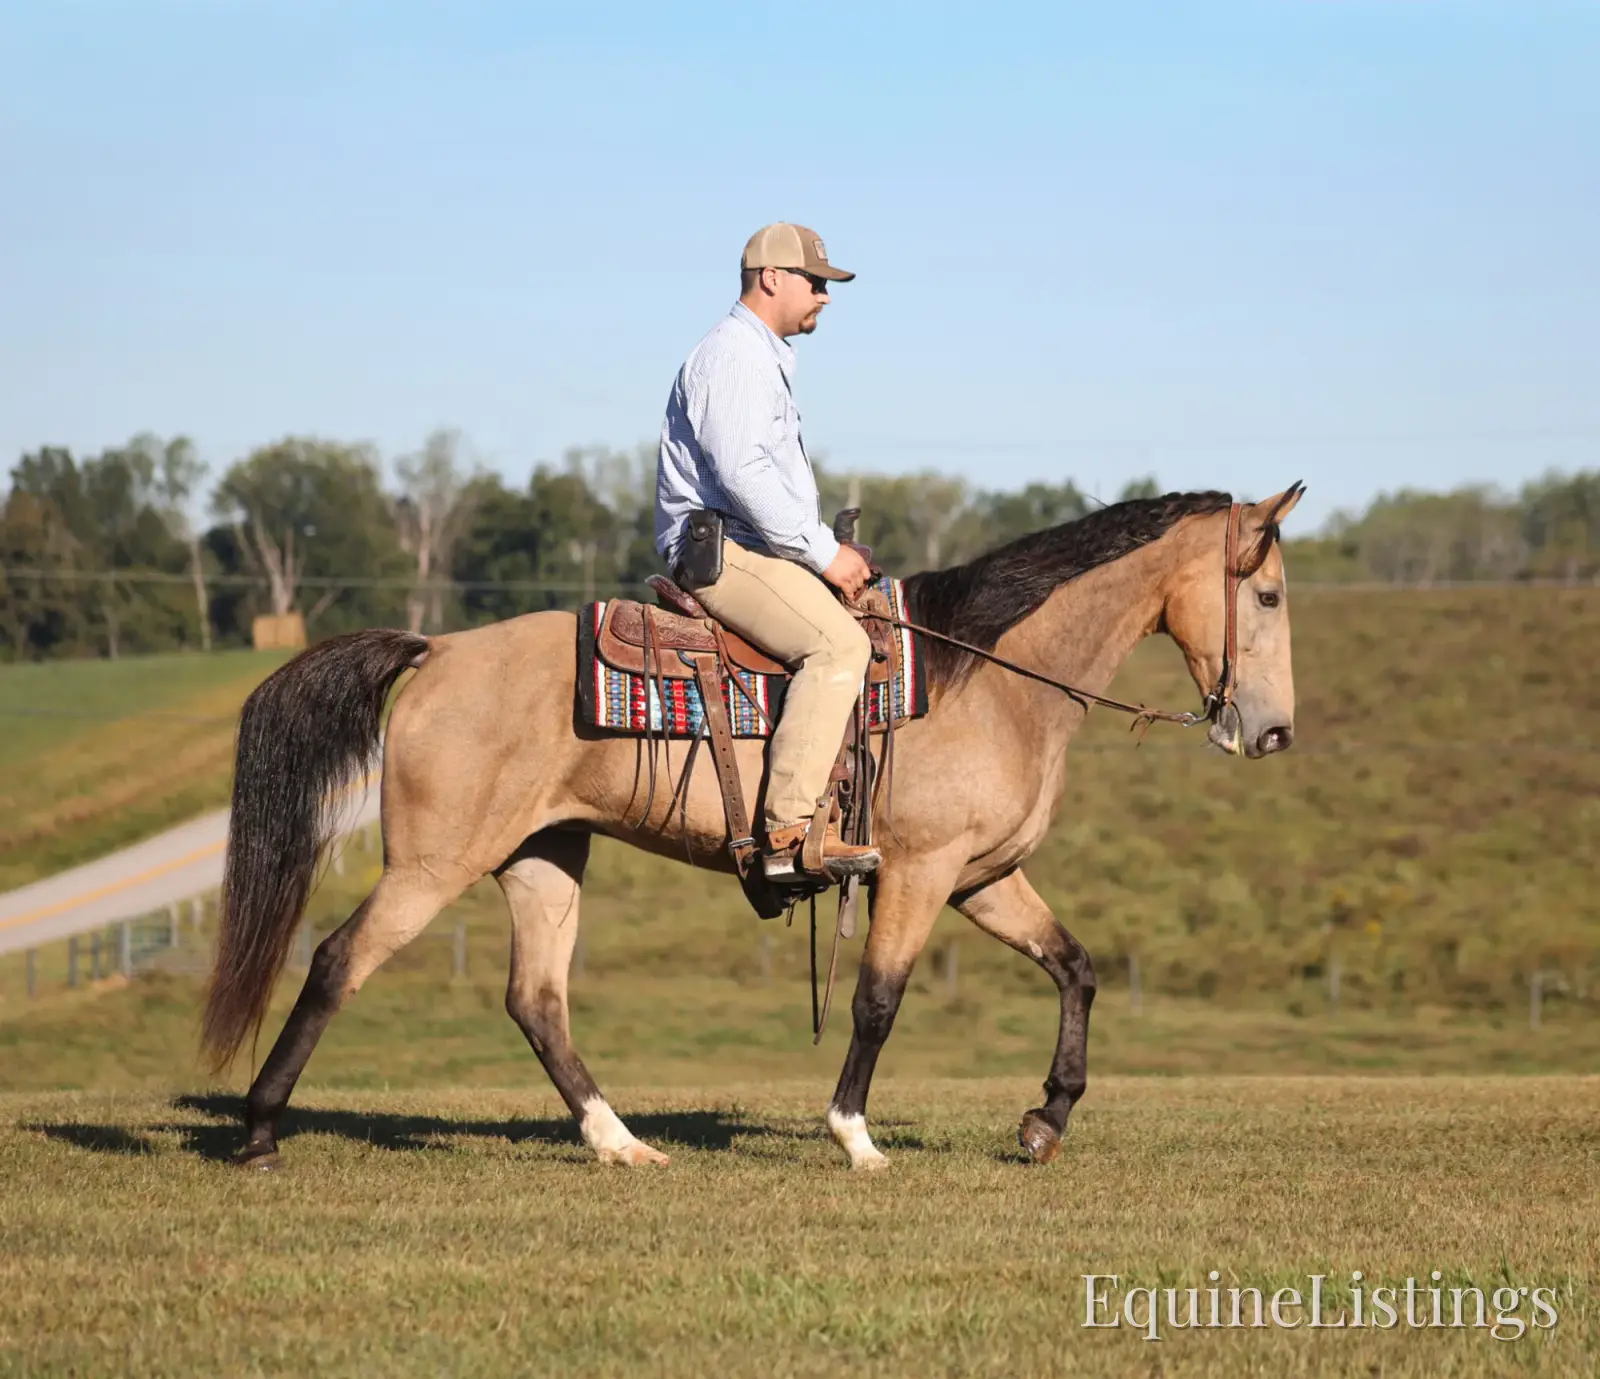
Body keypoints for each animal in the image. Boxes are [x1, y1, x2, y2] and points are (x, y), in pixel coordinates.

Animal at [202, 485, 1303, 1170]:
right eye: (1266, 592)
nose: (1274, 729)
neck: (984, 675)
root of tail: (435, 649)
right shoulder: (918, 872)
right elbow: (877, 1000)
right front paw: (854, 1134)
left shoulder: (983, 876)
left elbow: (1075, 967)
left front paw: (1044, 1118)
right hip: (435, 862)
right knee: (338, 961)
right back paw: (257, 1131)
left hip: (542, 855)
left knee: (537, 1000)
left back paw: (619, 1142)